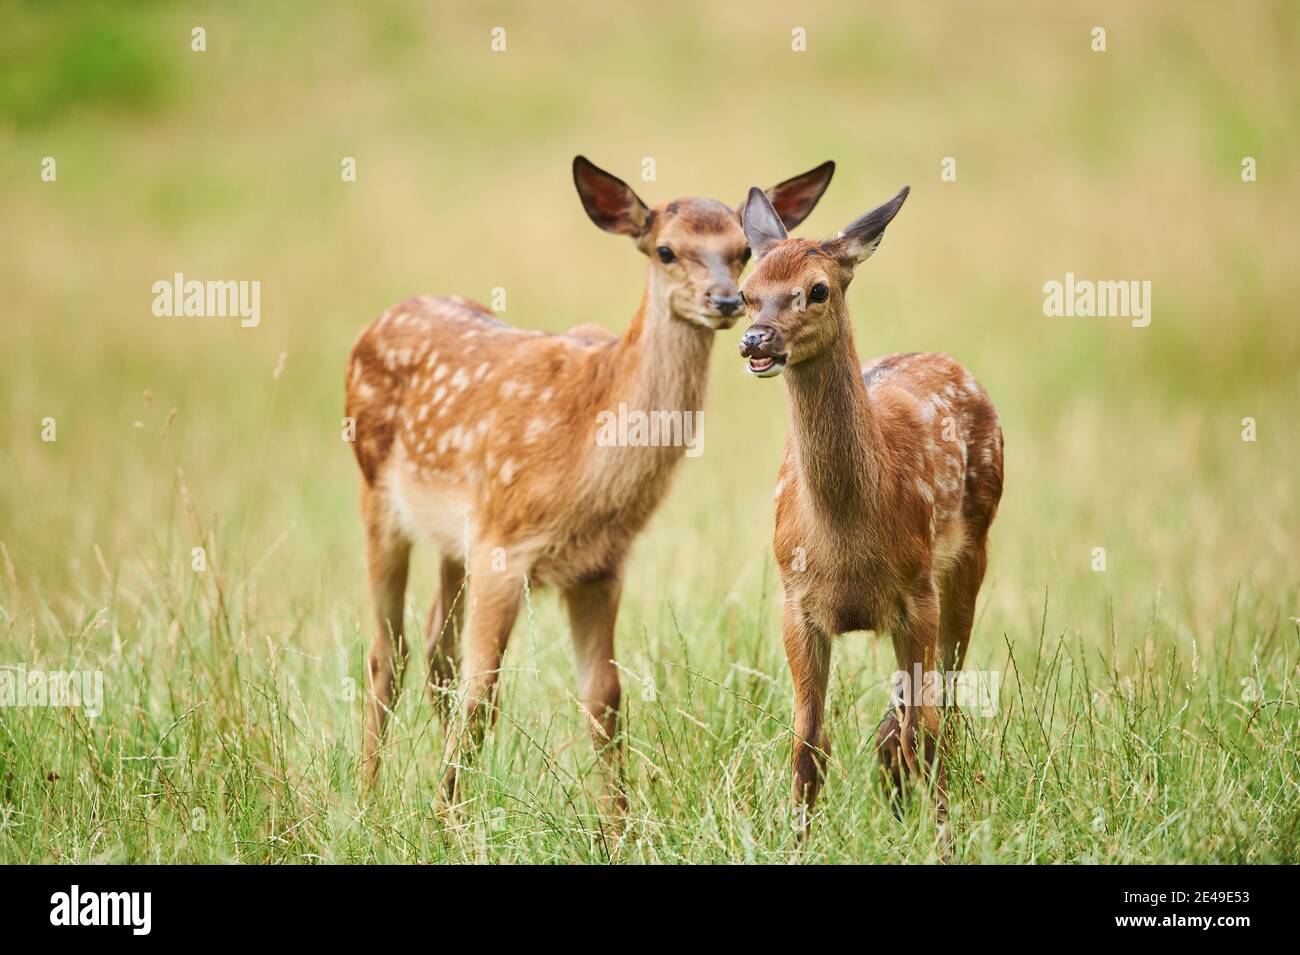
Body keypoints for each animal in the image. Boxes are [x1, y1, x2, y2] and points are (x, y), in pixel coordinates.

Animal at [345, 158, 832, 805]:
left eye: (741, 251)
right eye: (666, 250)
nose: (727, 300)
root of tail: (377, 322)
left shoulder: (601, 566)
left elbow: (605, 701)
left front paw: (616, 820)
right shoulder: (503, 543)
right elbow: (484, 693)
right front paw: (447, 816)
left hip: (452, 539)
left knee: (434, 647)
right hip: (377, 494)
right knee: (388, 652)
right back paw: (368, 797)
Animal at [738, 183, 998, 826]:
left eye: (818, 289)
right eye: (746, 293)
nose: (756, 340)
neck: (845, 540)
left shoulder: (917, 595)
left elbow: (924, 732)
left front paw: (940, 834)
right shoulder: (796, 603)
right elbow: (807, 741)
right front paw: (798, 836)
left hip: (971, 554)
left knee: (939, 708)